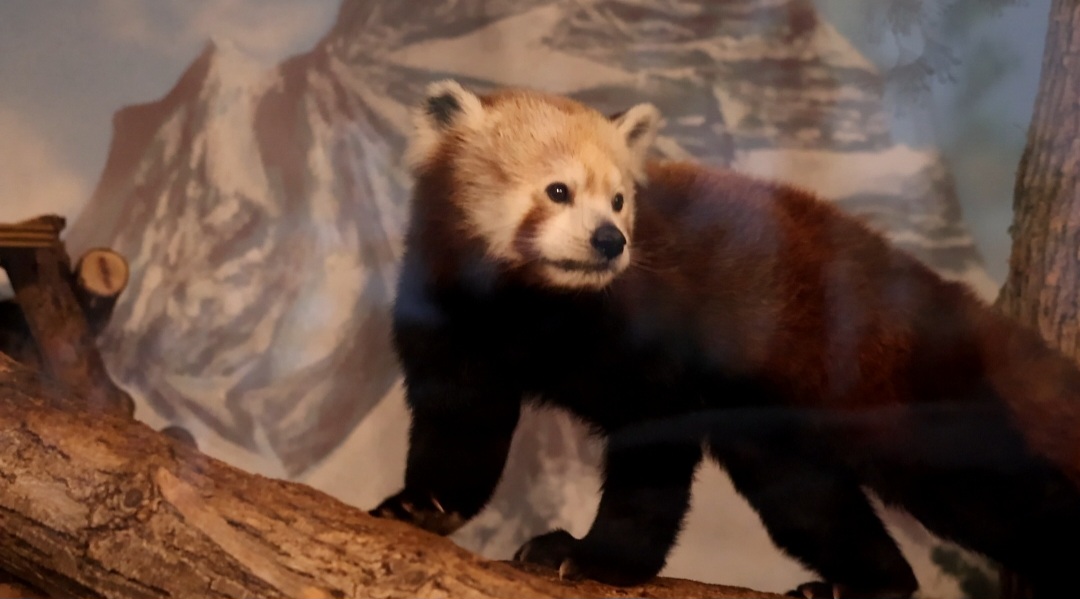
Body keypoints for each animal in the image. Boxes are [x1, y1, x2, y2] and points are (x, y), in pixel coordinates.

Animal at [369, 80, 1080, 599]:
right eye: (558, 190)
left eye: (620, 200)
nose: (609, 241)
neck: (528, 307)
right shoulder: (449, 323)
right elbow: (462, 425)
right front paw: (423, 506)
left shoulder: (651, 347)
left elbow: (652, 463)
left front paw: (595, 558)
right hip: (782, 434)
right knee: (809, 500)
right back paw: (865, 584)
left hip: (902, 388)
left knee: (990, 487)